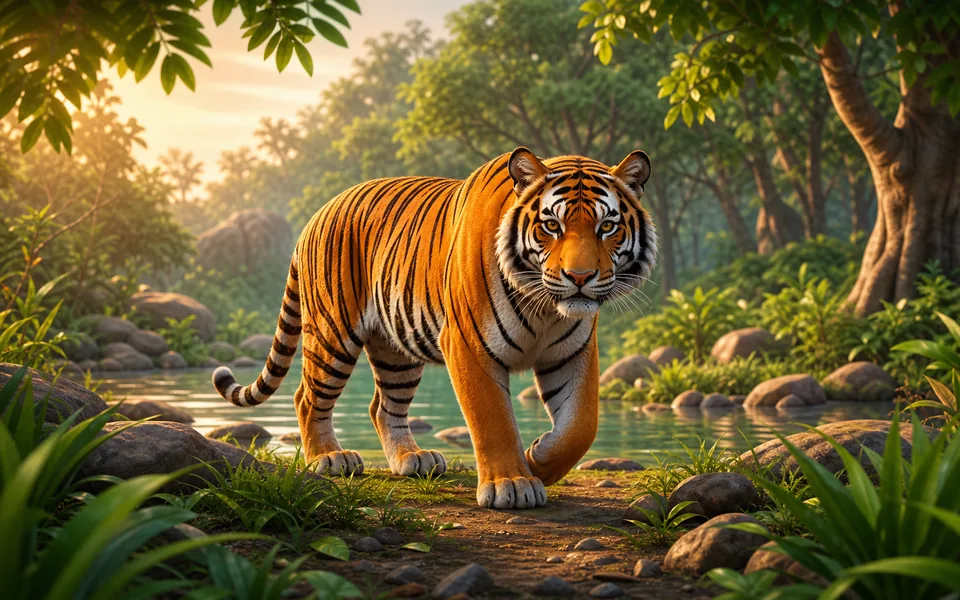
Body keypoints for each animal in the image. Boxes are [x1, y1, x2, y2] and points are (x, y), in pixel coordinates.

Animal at [213, 147, 656, 509]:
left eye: (607, 227)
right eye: (552, 226)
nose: (579, 277)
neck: (545, 307)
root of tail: (317, 214)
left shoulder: (573, 352)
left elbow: (581, 426)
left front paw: (539, 460)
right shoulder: (469, 344)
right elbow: (492, 418)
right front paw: (511, 484)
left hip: (396, 351)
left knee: (382, 406)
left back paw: (413, 459)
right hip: (332, 332)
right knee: (307, 397)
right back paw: (330, 458)